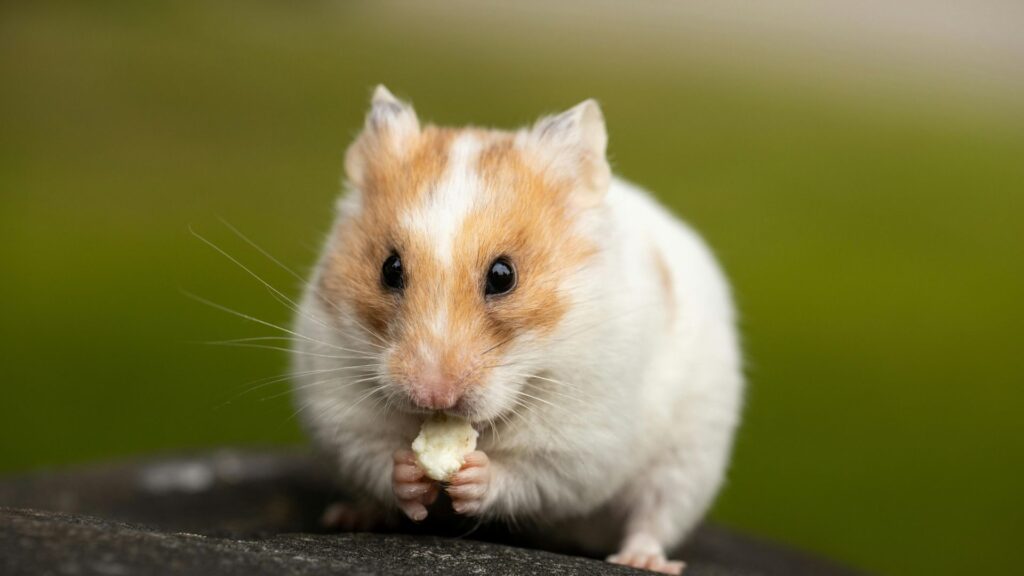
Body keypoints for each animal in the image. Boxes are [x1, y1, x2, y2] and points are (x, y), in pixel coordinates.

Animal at [291, 85, 744, 574]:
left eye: (503, 276)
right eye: (389, 269)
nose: (433, 397)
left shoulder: (580, 443)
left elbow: (528, 475)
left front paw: (473, 475)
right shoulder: (340, 407)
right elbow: (375, 456)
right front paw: (410, 473)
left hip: (689, 459)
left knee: (655, 515)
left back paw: (642, 559)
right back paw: (350, 515)